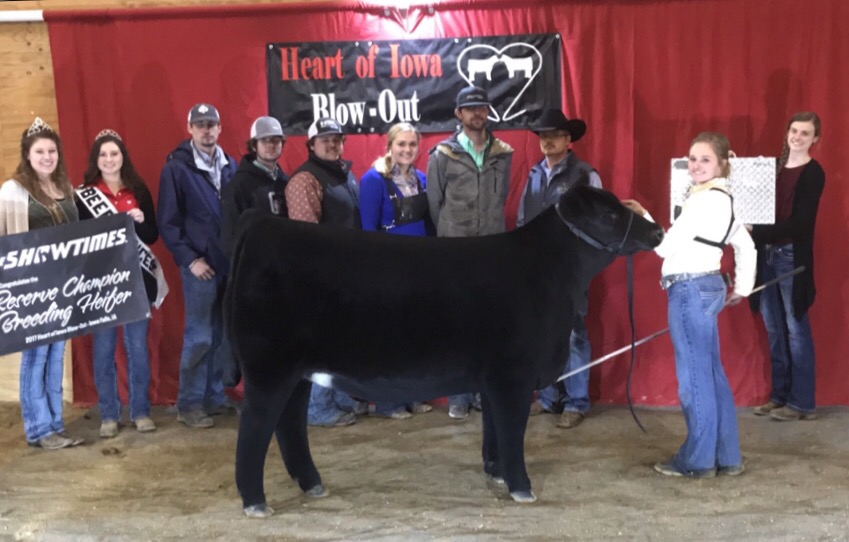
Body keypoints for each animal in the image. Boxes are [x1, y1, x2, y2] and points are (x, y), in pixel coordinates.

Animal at [225, 185, 664, 518]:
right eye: (607, 215)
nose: (658, 231)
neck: (548, 271)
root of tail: (265, 222)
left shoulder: (492, 378)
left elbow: (493, 431)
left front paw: (496, 473)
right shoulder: (513, 375)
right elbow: (512, 432)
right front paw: (522, 487)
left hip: (297, 372)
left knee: (289, 425)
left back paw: (312, 485)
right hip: (268, 369)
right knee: (255, 429)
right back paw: (255, 502)